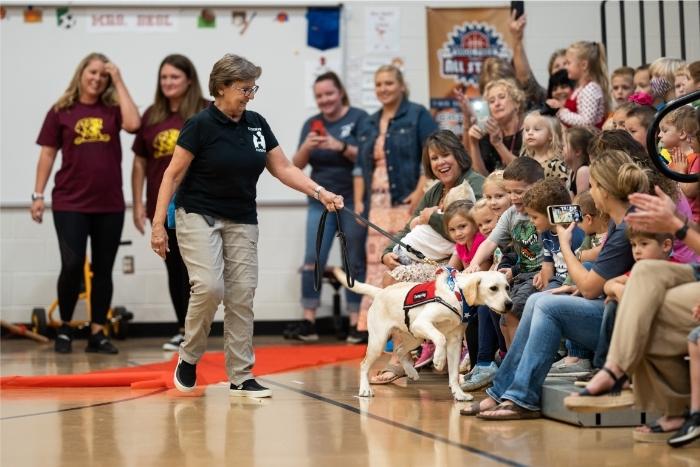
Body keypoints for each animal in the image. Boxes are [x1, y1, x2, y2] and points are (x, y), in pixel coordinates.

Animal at [330, 268, 512, 400]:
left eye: (507, 287)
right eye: (493, 288)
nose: (509, 304)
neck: (457, 294)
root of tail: (381, 292)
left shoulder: (454, 341)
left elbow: (454, 374)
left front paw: (459, 394)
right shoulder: (423, 323)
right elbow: (440, 338)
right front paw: (438, 360)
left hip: (414, 337)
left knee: (400, 351)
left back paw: (411, 371)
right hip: (380, 341)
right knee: (364, 364)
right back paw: (365, 389)